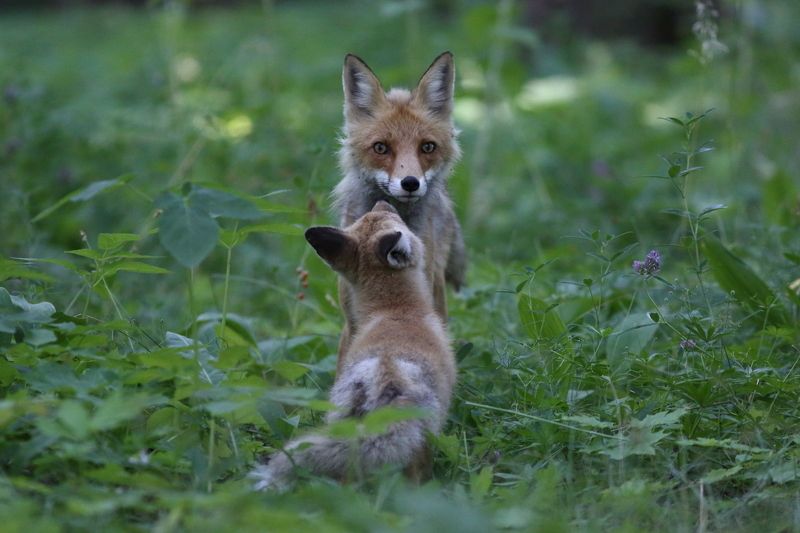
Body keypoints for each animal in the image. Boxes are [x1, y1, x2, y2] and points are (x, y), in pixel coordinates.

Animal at [250, 201, 455, 490]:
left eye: (379, 214)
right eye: (399, 220)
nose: (384, 201)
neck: (395, 310)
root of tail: (383, 373)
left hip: (340, 421)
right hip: (419, 435)